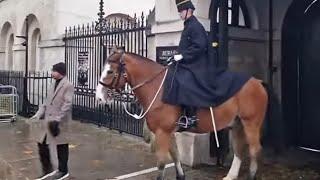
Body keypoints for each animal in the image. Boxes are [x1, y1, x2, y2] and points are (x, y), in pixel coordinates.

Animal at [95, 47, 268, 179]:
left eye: (109, 71)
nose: (99, 97)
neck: (158, 88)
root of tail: (257, 82)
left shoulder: (162, 132)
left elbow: (162, 163)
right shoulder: (169, 132)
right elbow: (175, 155)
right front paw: (181, 175)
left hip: (251, 123)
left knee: (254, 149)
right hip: (237, 124)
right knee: (239, 150)